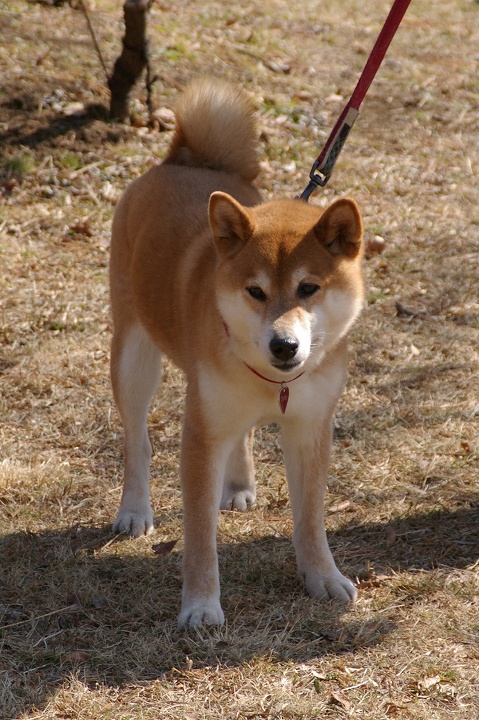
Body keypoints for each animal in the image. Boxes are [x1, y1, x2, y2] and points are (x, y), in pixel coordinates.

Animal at [109, 79, 364, 628]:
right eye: (256, 292)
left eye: (309, 288)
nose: (284, 344)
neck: (276, 383)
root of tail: (183, 159)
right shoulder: (202, 435)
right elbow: (200, 537)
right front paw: (202, 604)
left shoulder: (311, 429)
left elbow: (310, 520)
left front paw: (322, 576)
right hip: (134, 357)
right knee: (138, 440)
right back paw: (135, 508)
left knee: (241, 434)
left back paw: (240, 483)